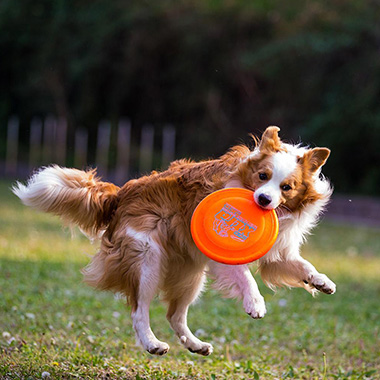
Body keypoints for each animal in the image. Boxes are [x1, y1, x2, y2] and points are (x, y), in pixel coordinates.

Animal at [12, 127, 336, 356]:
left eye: (287, 187)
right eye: (262, 176)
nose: (264, 200)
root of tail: (120, 194)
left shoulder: (278, 254)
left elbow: (301, 265)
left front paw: (322, 282)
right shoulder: (222, 254)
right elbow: (245, 276)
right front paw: (255, 303)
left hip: (190, 273)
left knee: (174, 315)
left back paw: (195, 344)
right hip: (148, 259)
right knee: (139, 309)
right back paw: (152, 343)